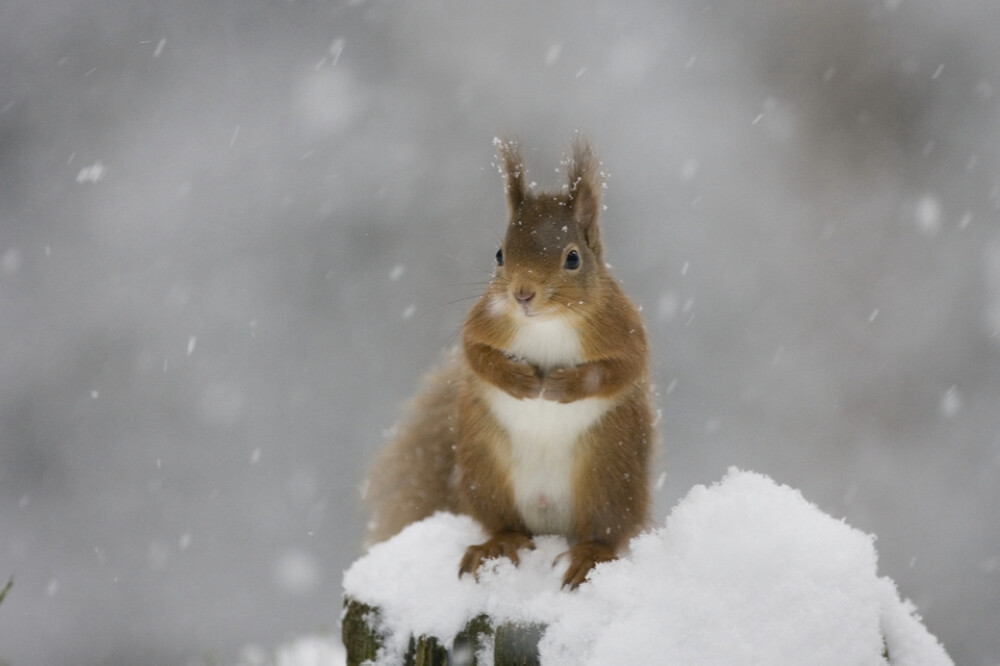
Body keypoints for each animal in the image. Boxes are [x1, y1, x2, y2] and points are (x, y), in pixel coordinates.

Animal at [364, 139, 652, 588]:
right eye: (500, 254)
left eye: (573, 259)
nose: (522, 293)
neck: (547, 323)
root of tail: (550, 524)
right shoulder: (481, 323)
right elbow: (477, 356)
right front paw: (521, 381)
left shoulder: (625, 329)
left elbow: (622, 368)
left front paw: (561, 385)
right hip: (486, 472)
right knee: (504, 524)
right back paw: (497, 545)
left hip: (609, 471)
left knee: (607, 531)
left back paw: (588, 556)